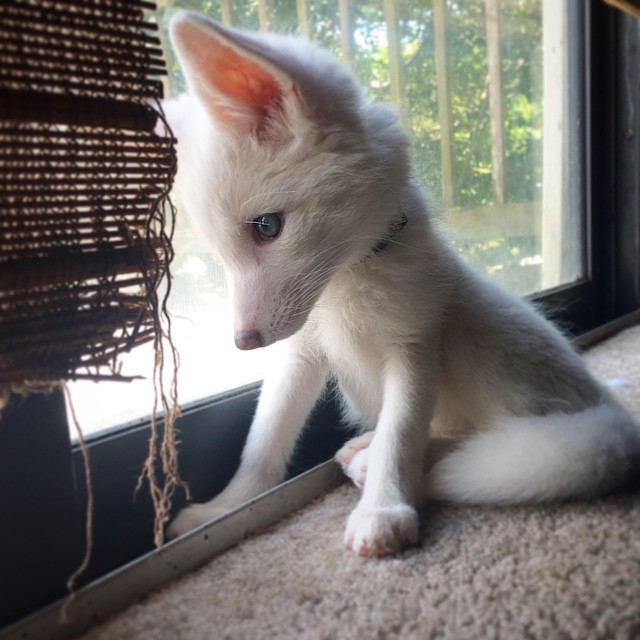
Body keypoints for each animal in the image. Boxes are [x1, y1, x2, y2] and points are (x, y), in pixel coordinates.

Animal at [163, 11, 640, 556]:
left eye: (267, 226)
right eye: (220, 252)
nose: (245, 342)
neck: (346, 280)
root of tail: (608, 408)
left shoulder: (415, 343)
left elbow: (403, 435)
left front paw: (383, 507)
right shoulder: (300, 351)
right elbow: (264, 438)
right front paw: (225, 508)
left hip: (496, 350)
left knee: (484, 441)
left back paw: (383, 460)